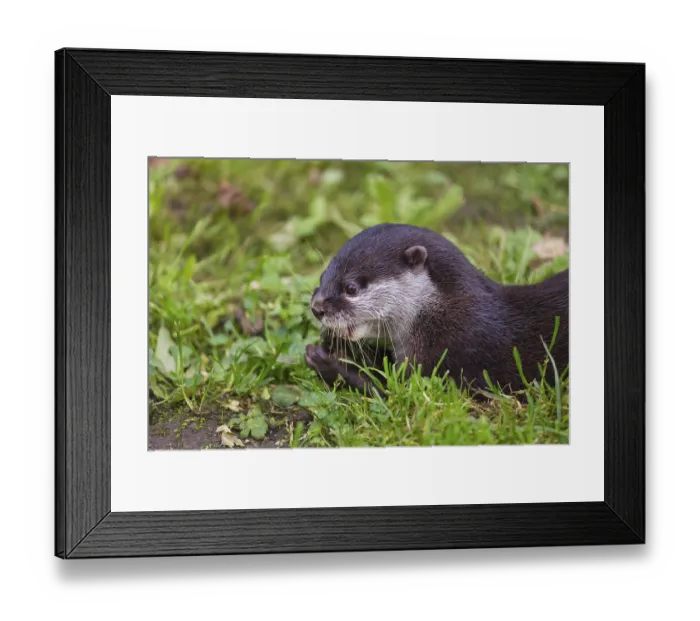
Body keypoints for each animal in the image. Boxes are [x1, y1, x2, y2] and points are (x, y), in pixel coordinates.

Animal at [304, 223, 568, 396]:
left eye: (350, 287)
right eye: (322, 277)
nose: (316, 308)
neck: (443, 315)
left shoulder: (447, 356)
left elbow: (395, 393)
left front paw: (328, 362)